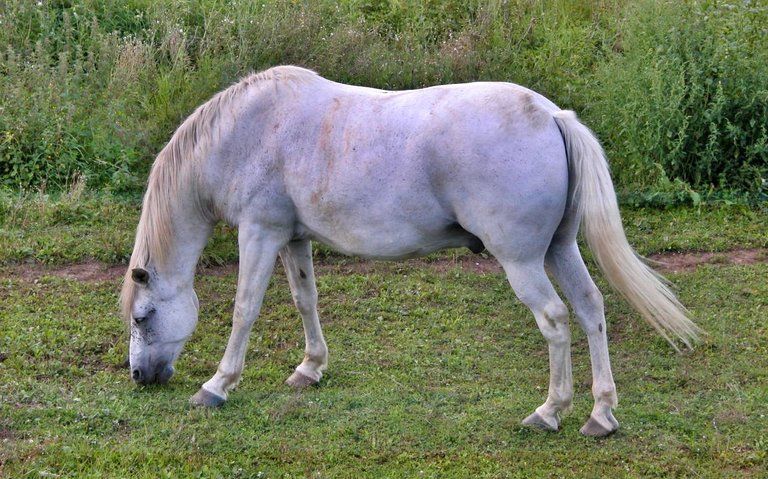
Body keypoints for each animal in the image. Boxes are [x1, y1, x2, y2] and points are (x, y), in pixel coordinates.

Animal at [120, 64, 704, 438]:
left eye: (143, 317)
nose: (140, 378)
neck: (247, 131)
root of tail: (552, 115)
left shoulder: (259, 233)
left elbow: (245, 310)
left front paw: (217, 385)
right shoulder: (292, 238)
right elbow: (305, 301)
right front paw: (310, 368)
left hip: (523, 263)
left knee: (557, 319)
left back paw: (549, 412)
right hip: (560, 250)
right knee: (590, 309)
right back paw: (600, 415)